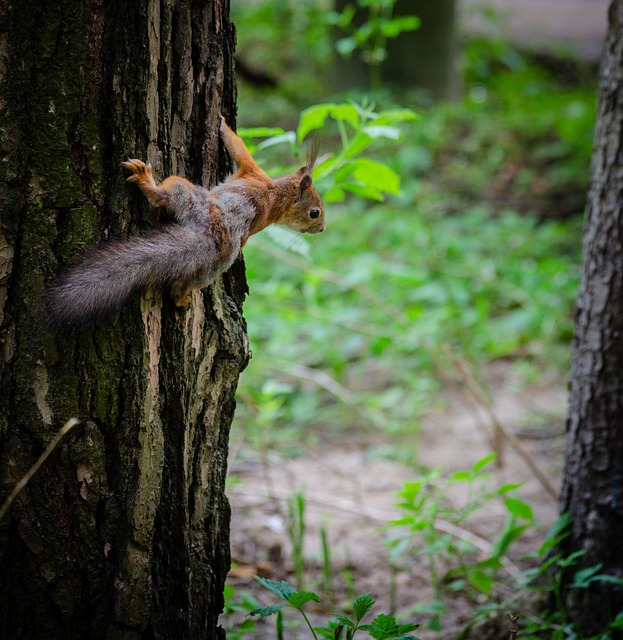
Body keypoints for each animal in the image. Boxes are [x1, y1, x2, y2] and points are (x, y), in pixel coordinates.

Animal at [47, 117, 326, 332]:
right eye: (315, 213)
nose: (322, 229)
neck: (276, 196)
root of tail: (210, 240)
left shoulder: (251, 171)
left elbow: (238, 148)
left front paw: (222, 125)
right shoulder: (254, 178)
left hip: (185, 193)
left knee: (163, 196)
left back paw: (148, 182)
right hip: (208, 272)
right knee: (187, 282)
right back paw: (181, 296)